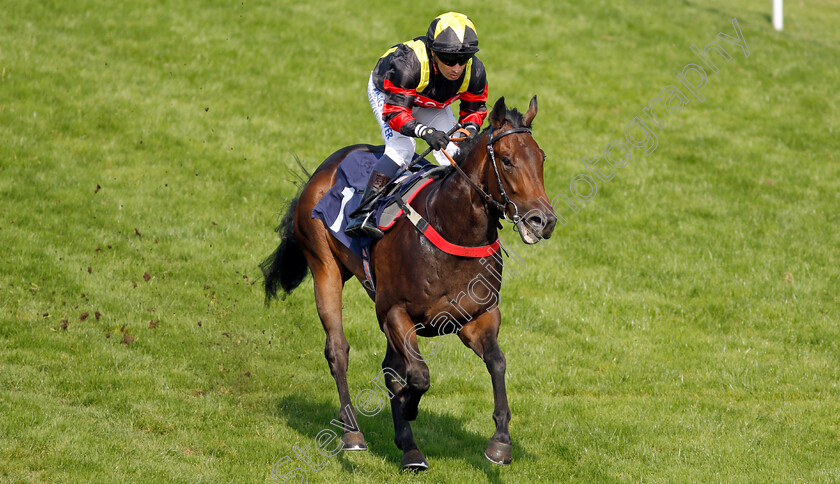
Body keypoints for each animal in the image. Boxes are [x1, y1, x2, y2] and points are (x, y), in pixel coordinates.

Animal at [260, 96, 556, 470]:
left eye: (541, 158)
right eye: (506, 160)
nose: (543, 221)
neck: (451, 229)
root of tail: (327, 166)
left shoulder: (477, 317)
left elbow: (496, 362)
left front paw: (500, 442)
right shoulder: (395, 312)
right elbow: (418, 375)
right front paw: (409, 409)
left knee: (389, 366)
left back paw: (409, 447)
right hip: (324, 267)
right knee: (338, 350)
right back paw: (353, 432)